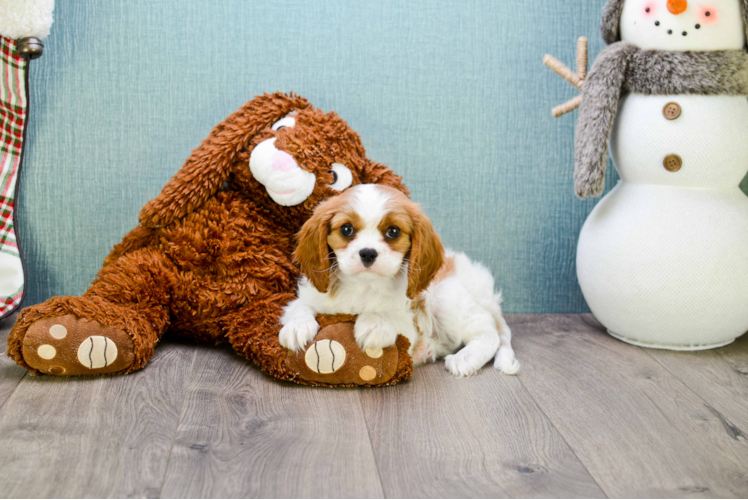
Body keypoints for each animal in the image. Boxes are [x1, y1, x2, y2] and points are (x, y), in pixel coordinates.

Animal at [280, 184, 520, 376]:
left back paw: (465, 358)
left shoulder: (411, 321)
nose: (368, 253)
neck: (363, 286)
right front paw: (297, 327)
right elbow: (299, 306)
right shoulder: (311, 296)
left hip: (445, 296)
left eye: (393, 231)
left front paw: (374, 323)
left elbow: (393, 318)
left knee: (488, 331)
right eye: (346, 229)